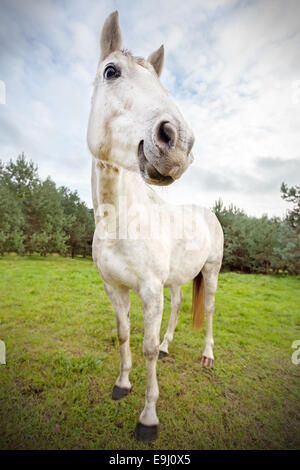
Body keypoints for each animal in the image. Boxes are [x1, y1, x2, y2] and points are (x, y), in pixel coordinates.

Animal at [86, 11, 223, 444]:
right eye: (111, 71)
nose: (178, 142)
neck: (121, 222)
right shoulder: (114, 288)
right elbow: (124, 335)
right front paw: (122, 385)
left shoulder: (149, 291)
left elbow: (144, 347)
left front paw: (148, 418)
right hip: (178, 279)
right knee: (179, 305)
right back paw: (168, 345)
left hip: (211, 271)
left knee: (208, 311)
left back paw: (206, 355)